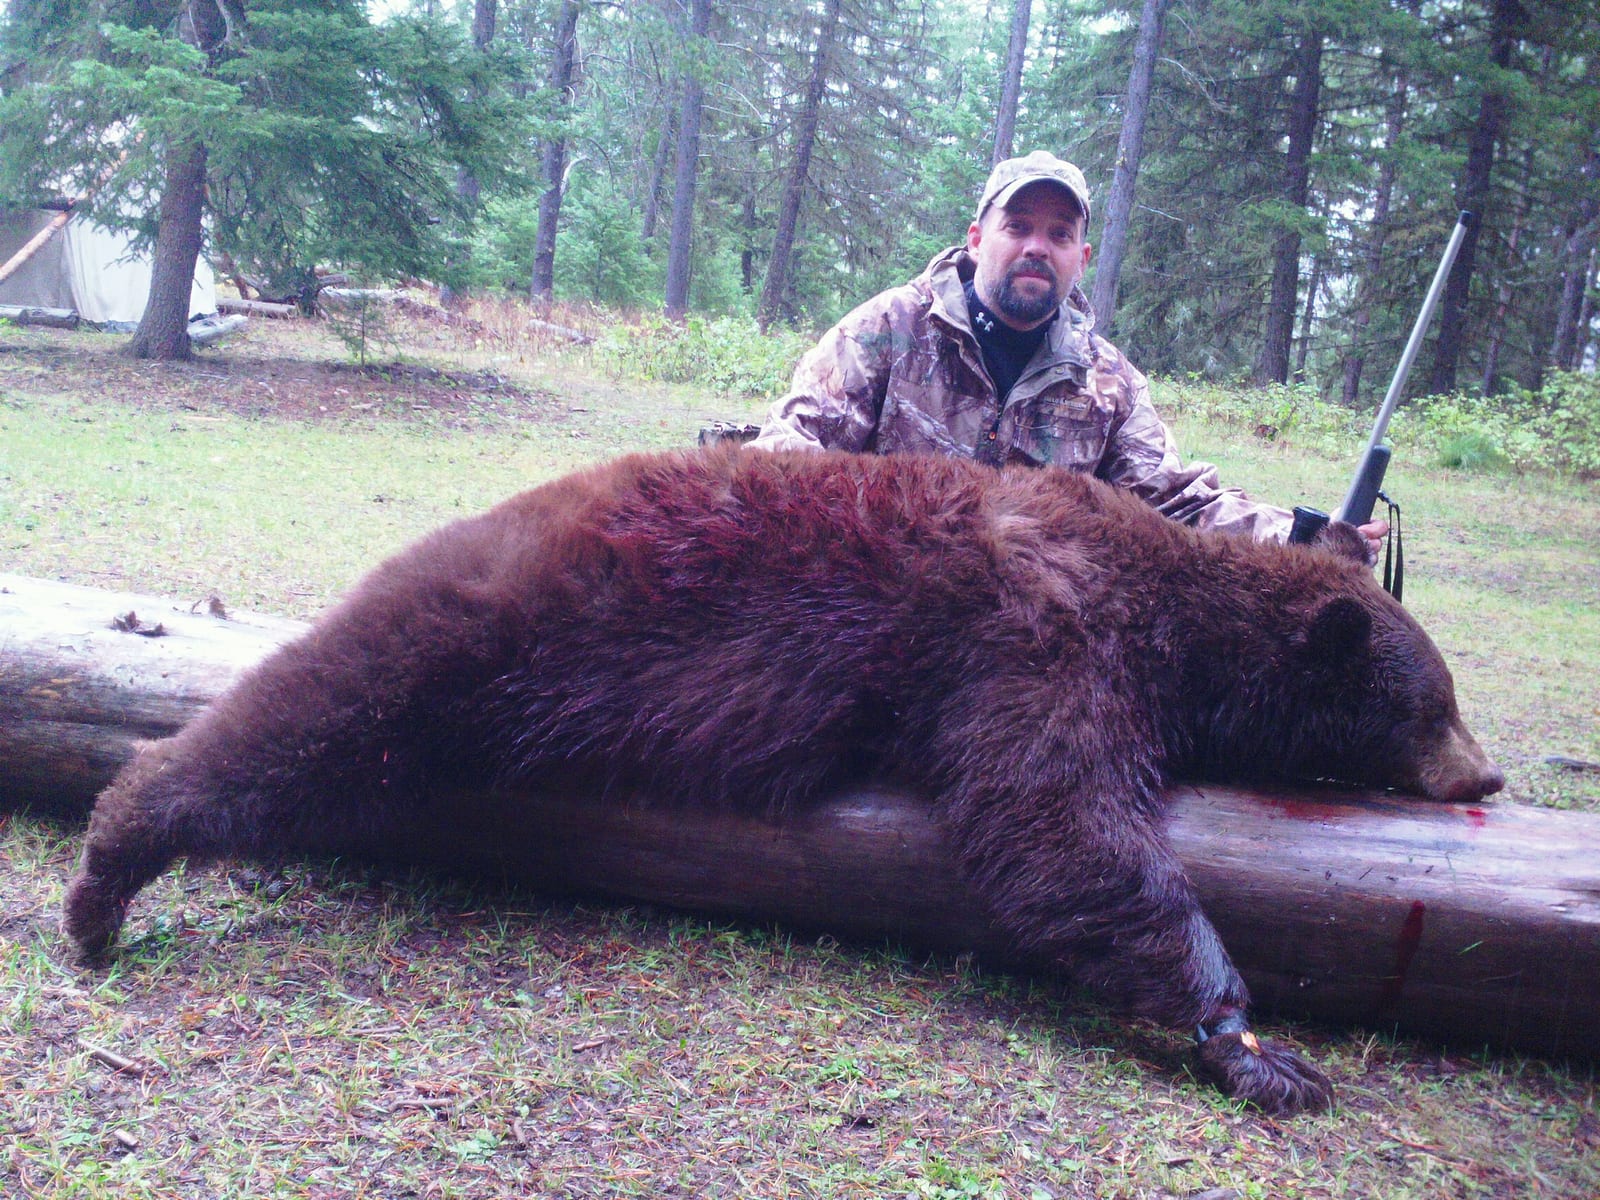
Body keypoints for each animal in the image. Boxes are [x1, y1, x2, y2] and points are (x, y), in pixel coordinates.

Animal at [63, 446, 1504, 1115]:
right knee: (299, 720)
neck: (1171, 606)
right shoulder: (1034, 629)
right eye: (1437, 700)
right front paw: (1252, 1045)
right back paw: (105, 874)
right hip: (466, 638)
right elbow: (1053, 820)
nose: (1483, 771)